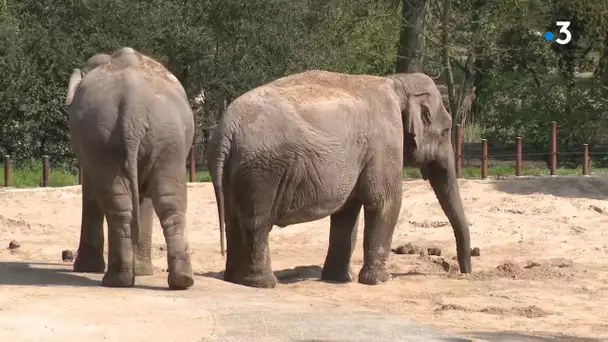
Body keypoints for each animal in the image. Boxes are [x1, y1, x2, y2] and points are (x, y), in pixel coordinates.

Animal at [64, 47, 194, 288]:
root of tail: (134, 105)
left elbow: (92, 192)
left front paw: (86, 268)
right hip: (165, 137)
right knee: (169, 201)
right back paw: (179, 280)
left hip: (106, 137)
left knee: (119, 201)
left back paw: (118, 278)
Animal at [209, 69, 476, 288]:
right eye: (445, 132)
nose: (465, 272)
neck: (397, 83)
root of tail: (226, 129)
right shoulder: (385, 142)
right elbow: (385, 202)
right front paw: (380, 281)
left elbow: (347, 212)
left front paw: (337, 280)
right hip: (264, 170)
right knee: (256, 222)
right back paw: (264, 283)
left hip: (237, 171)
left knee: (233, 220)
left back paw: (235, 280)